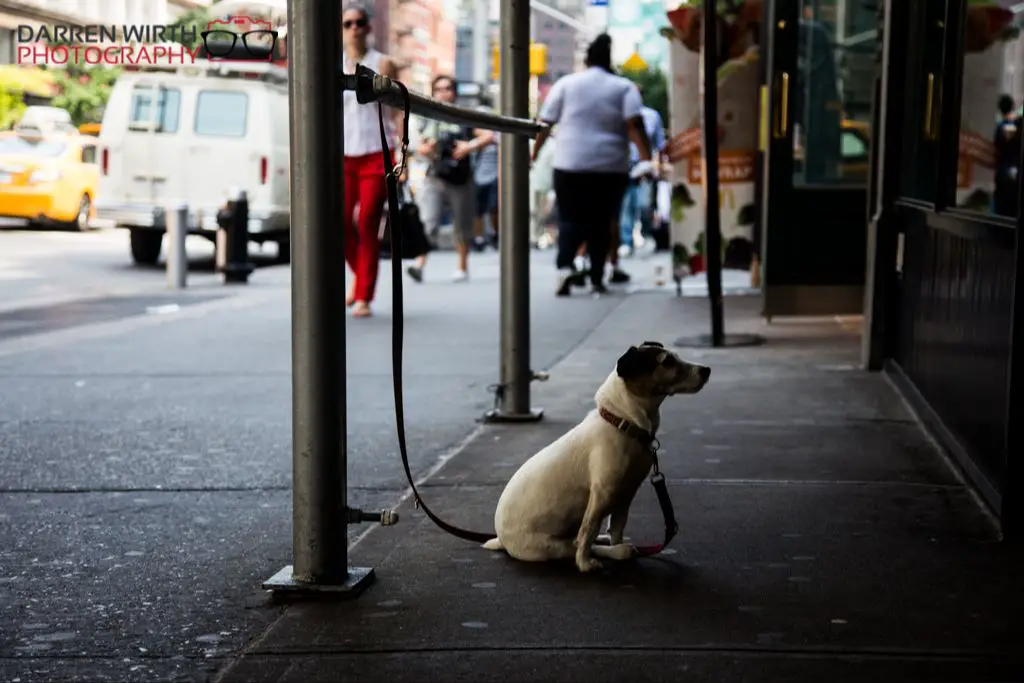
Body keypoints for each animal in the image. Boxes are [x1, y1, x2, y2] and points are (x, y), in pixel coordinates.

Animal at [481, 339, 708, 573]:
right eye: (667, 362)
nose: (707, 370)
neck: (623, 423)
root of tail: (502, 540)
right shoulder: (602, 493)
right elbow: (588, 530)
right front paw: (584, 563)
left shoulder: (626, 493)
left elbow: (617, 527)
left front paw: (614, 542)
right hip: (548, 546)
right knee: (575, 543)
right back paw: (611, 552)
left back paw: (612, 545)